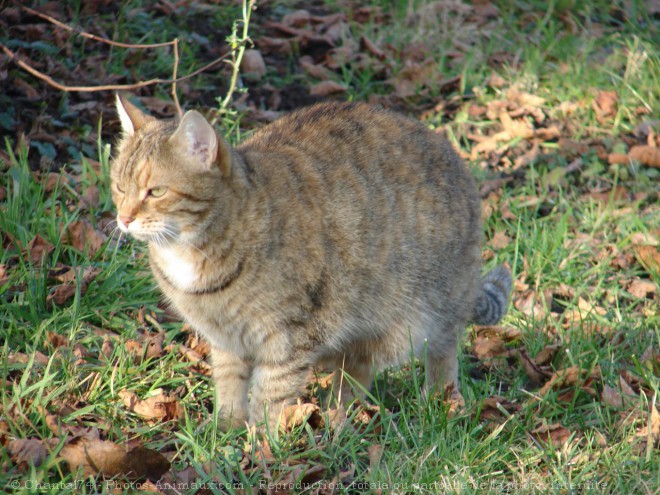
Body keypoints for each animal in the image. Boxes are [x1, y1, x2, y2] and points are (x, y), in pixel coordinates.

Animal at [111, 96, 510, 430]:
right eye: (119, 187)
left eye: (156, 192)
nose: (124, 218)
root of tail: (453, 155)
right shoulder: (226, 338)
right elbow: (229, 385)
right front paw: (224, 433)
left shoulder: (289, 336)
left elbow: (270, 395)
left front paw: (258, 447)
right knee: (356, 372)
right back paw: (338, 417)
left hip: (424, 311)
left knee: (442, 350)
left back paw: (439, 402)